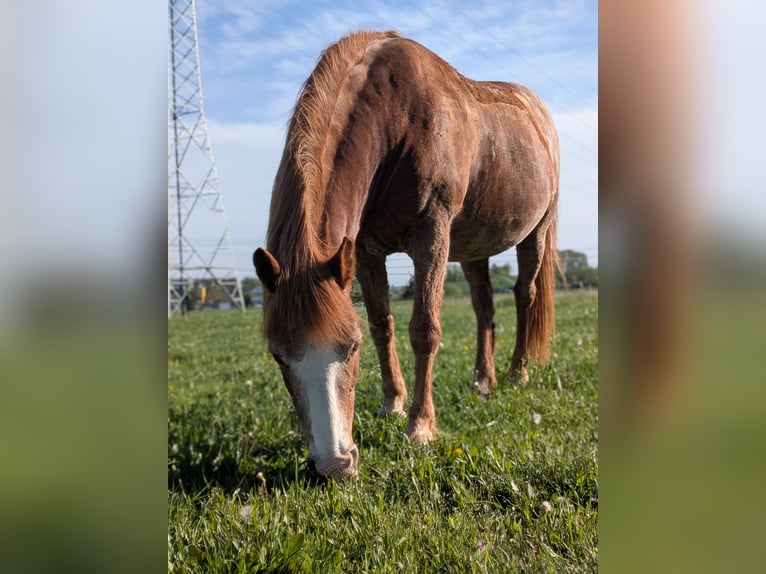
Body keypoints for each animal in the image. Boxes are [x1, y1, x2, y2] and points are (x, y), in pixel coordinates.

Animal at [254, 30, 560, 479]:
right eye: (278, 356)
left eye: (350, 348)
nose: (333, 465)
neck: (394, 119)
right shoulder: (364, 252)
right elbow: (383, 326)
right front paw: (392, 406)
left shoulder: (431, 237)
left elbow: (424, 330)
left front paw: (420, 427)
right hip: (473, 247)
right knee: (484, 307)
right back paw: (483, 382)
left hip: (534, 234)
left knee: (525, 295)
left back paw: (517, 372)